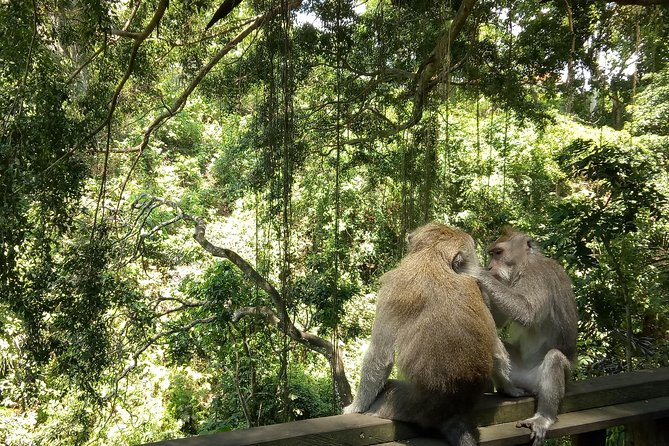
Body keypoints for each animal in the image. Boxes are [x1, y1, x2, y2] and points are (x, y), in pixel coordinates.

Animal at [343, 223, 515, 446]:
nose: (482, 268)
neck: (434, 258)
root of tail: (452, 411)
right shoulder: (477, 287)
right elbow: (496, 349)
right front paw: (512, 390)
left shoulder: (393, 287)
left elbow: (380, 356)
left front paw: (355, 407)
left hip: (402, 405)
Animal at [463, 227, 578, 446]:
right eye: (492, 254)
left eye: (498, 253)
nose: (489, 267)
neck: (524, 266)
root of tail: (528, 382)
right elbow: (498, 321)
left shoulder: (537, 275)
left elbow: (527, 312)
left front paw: (476, 272)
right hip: (515, 372)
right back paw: (509, 390)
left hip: (557, 377)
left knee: (555, 359)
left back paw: (544, 417)